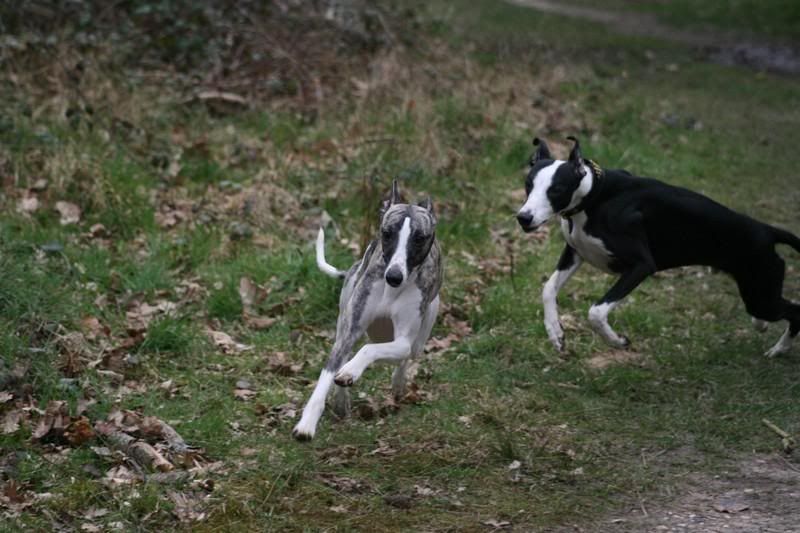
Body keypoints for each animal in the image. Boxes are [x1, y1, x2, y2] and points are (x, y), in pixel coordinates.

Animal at [294, 181, 444, 438]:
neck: (391, 292)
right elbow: (327, 375)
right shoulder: (349, 331)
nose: (394, 276)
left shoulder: (403, 340)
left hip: (421, 335)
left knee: (404, 359)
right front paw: (307, 423)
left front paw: (351, 371)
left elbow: (369, 349)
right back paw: (342, 400)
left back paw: (396, 383)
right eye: (387, 233)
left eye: (419, 238)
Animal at [516, 135, 796, 356]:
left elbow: (595, 312)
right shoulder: (575, 253)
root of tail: (767, 231)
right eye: (528, 185)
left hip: (761, 293)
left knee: (795, 311)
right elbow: (548, 289)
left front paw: (617, 341)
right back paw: (762, 327)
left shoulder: (640, 265)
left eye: (556, 189)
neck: (595, 196)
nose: (523, 218)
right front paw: (555, 333)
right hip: (757, 292)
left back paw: (779, 349)